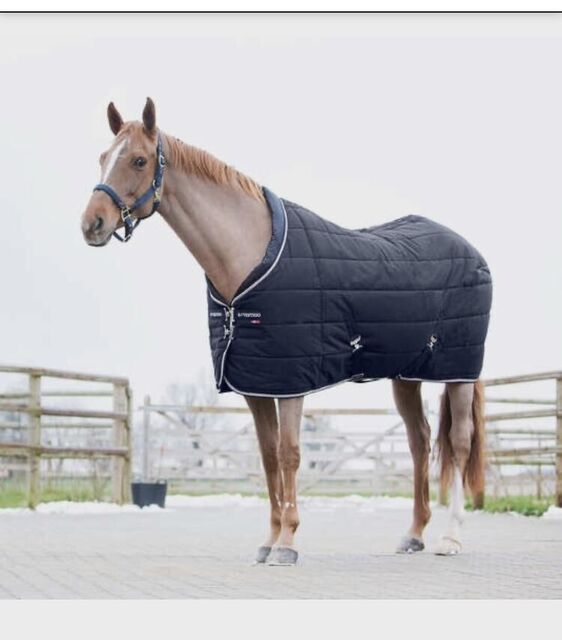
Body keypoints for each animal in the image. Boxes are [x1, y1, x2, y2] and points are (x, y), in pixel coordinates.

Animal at [81, 98, 491, 565]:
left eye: (138, 159)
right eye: (103, 157)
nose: (92, 223)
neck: (249, 256)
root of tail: (471, 251)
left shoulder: (291, 381)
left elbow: (290, 454)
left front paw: (288, 543)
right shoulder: (255, 383)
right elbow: (268, 458)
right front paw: (269, 539)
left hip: (458, 373)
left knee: (459, 443)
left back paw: (450, 538)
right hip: (406, 376)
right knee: (420, 441)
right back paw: (414, 534)